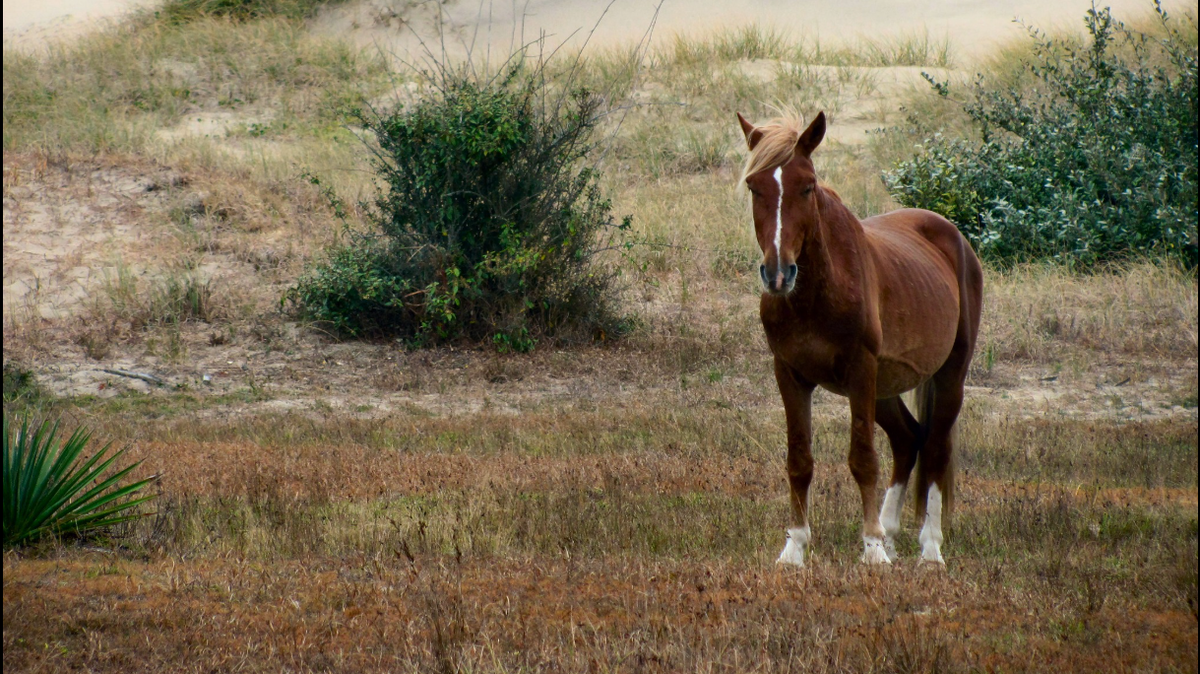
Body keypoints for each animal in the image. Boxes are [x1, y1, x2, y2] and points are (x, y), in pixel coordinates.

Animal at [735, 111, 983, 566]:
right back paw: (890, 531)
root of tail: (954, 237)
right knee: (908, 439)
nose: (778, 274)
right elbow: (799, 459)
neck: (816, 294)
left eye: (807, 186)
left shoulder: (860, 370)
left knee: (935, 448)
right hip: (882, 388)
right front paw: (795, 548)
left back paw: (929, 548)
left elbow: (863, 459)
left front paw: (871, 550)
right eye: (753, 186)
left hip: (948, 375)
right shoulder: (790, 373)